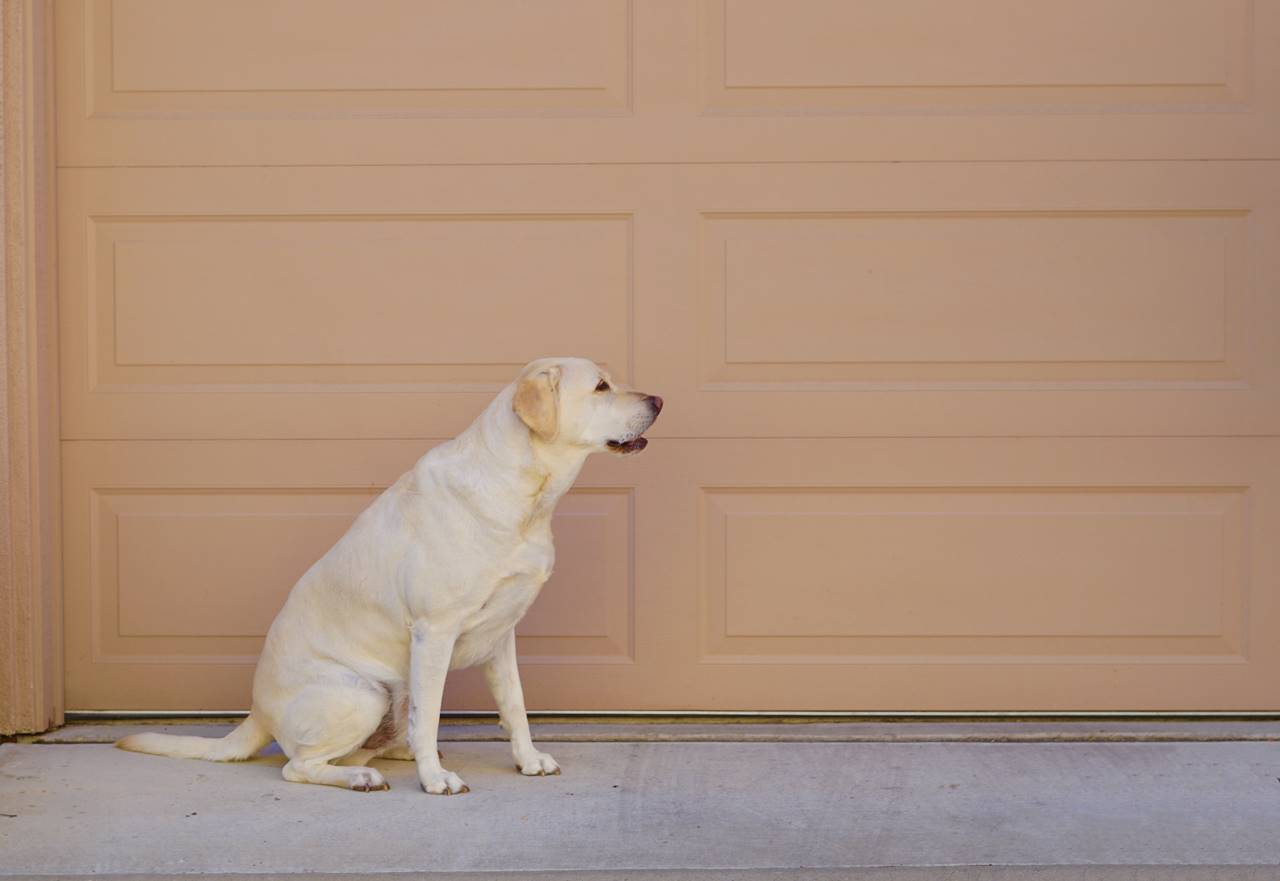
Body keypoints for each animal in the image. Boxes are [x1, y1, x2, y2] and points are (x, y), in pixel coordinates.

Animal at [115, 353, 665, 793]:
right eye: (601, 387)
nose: (660, 399)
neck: (525, 494)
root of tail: (257, 712)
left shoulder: (502, 636)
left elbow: (516, 707)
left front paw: (527, 760)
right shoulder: (435, 632)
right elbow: (433, 714)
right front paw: (435, 781)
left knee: (374, 741)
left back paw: (395, 756)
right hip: (362, 693)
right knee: (299, 765)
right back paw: (363, 776)